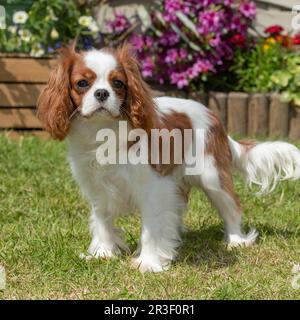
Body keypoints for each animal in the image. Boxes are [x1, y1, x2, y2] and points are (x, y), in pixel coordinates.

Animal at [37, 43, 300, 272]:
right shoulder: (97, 187)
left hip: (212, 176)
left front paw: (148, 263)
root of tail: (215, 118)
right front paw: (104, 253)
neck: (102, 133)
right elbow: (102, 220)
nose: (102, 93)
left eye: (118, 83)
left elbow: (152, 226)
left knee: (231, 207)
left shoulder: (154, 187)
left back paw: (236, 240)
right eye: (82, 83)